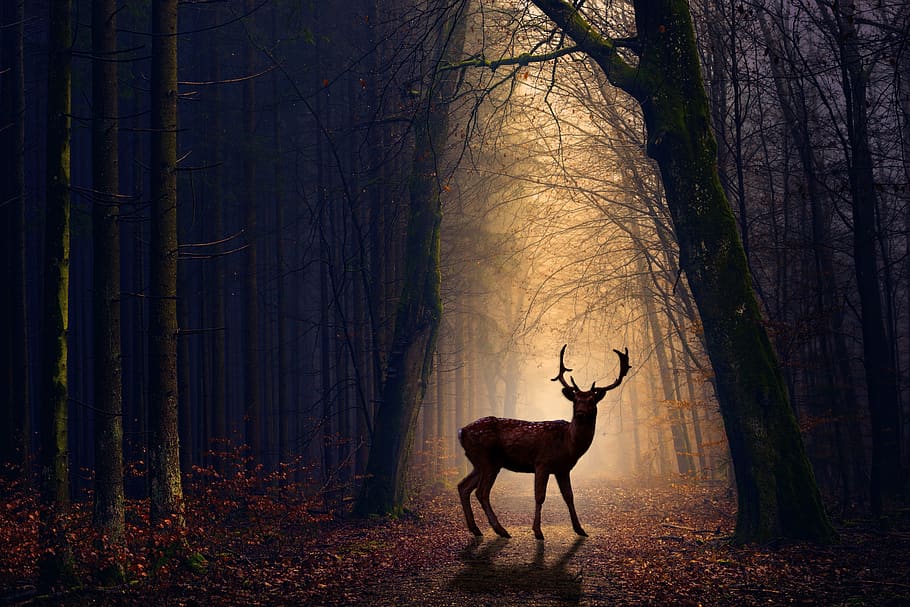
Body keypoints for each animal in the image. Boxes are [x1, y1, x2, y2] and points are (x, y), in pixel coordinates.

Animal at [460, 344, 632, 540]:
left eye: (592, 401)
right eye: (575, 401)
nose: (580, 413)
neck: (568, 444)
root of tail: (461, 432)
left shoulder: (563, 469)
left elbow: (569, 496)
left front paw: (580, 529)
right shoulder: (542, 463)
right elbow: (540, 496)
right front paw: (537, 531)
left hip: (479, 463)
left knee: (463, 487)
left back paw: (476, 529)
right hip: (487, 459)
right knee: (481, 492)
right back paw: (500, 530)